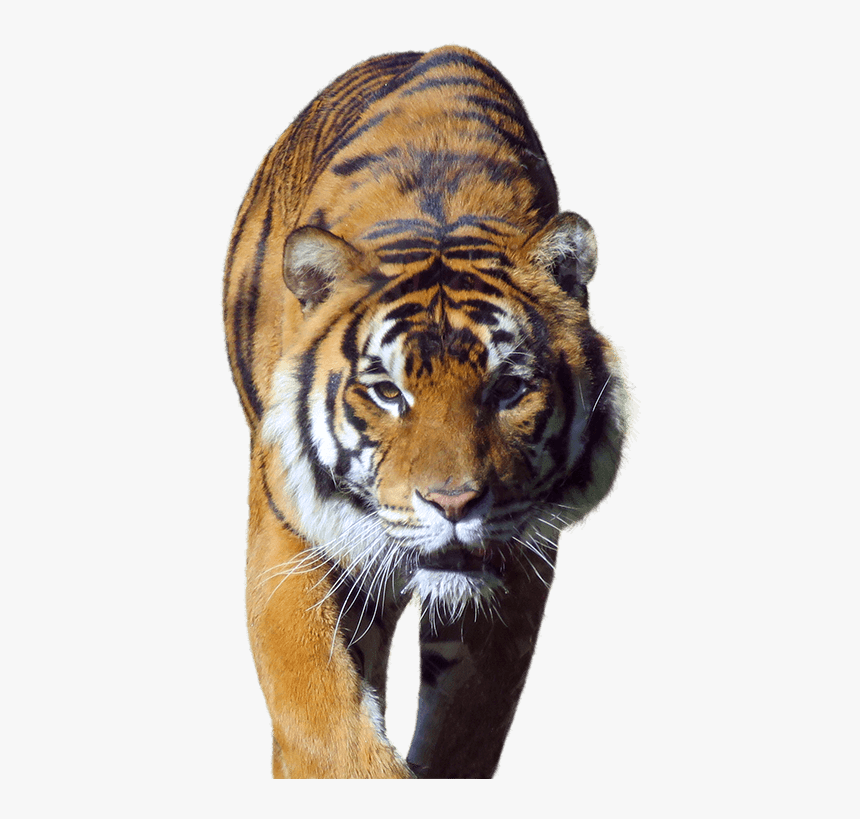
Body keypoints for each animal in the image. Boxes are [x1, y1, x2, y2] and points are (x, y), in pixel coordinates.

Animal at [223, 45, 627, 778]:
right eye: (388, 391)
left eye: (507, 389)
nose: (454, 503)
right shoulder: (286, 536)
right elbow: (327, 728)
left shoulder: (519, 566)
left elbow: (463, 730)